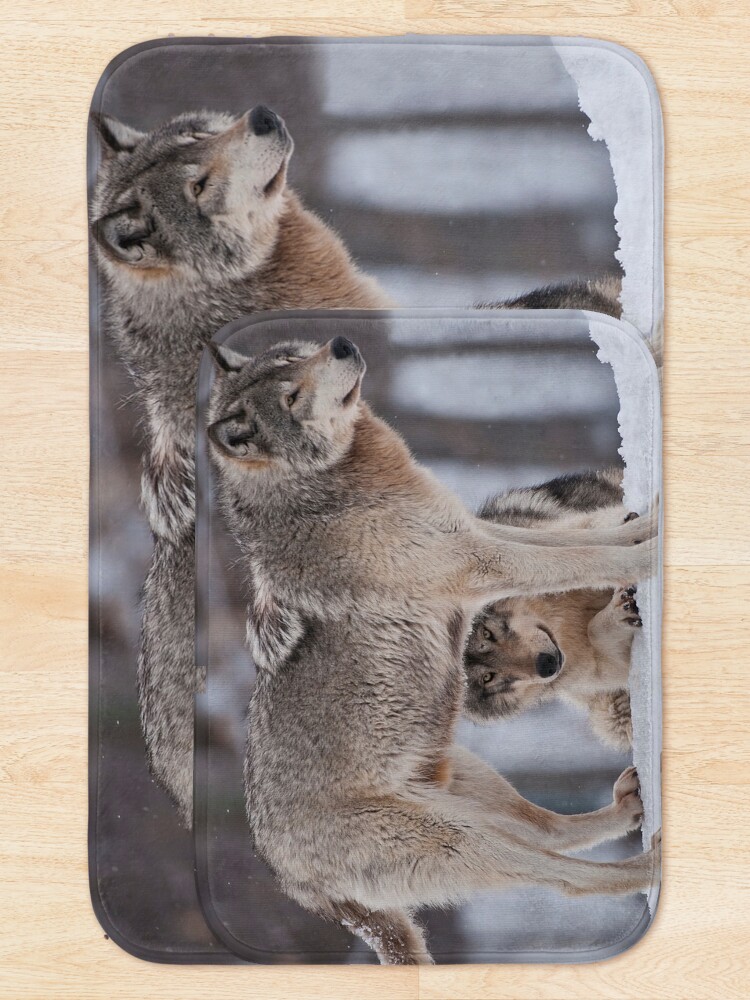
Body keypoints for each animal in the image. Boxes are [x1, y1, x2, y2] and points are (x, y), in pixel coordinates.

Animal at [463, 470, 640, 751]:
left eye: (487, 633)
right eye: (489, 678)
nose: (546, 666)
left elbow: (596, 535)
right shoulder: (599, 674)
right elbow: (597, 632)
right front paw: (619, 616)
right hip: (610, 720)